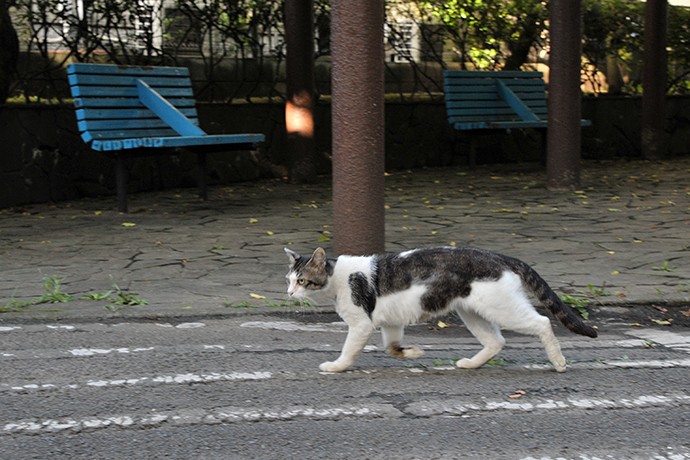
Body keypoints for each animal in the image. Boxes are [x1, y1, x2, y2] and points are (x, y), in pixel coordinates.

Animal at [282, 246, 592, 372]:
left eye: (301, 280)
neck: (337, 278)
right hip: (471, 312)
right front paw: (413, 353)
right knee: (496, 341)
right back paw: (471, 364)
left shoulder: (361, 324)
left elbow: (348, 351)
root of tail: (499, 256)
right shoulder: (391, 322)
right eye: (289, 279)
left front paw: (336, 366)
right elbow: (392, 348)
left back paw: (559, 362)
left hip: (503, 309)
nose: (288, 293)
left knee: (542, 323)